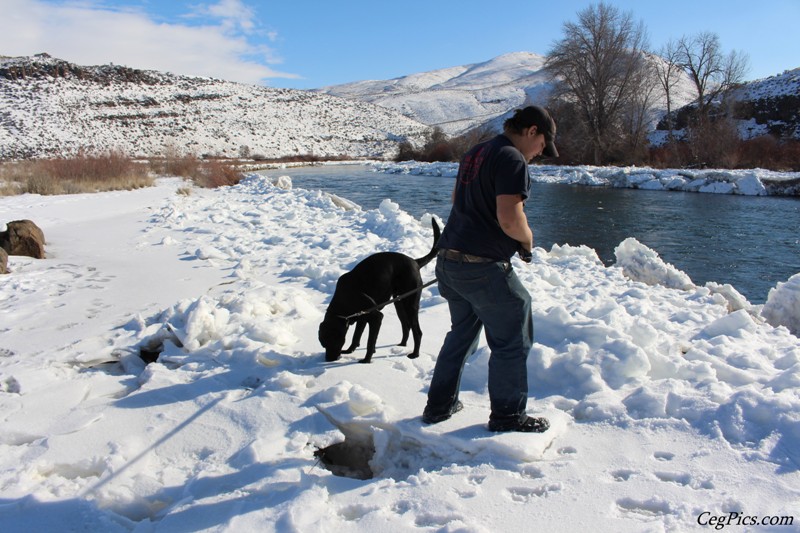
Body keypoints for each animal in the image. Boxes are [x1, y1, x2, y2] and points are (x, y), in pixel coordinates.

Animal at [318, 218, 440, 364]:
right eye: (323, 344)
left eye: (332, 341)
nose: (329, 359)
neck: (344, 300)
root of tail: (415, 262)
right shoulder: (363, 317)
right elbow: (356, 336)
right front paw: (350, 350)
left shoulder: (375, 317)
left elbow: (370, 341)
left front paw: (367, 359)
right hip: (399, 302)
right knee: (406, 325)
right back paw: (402, 344)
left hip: (410, 303)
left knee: (417, 331)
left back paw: (415, 354)